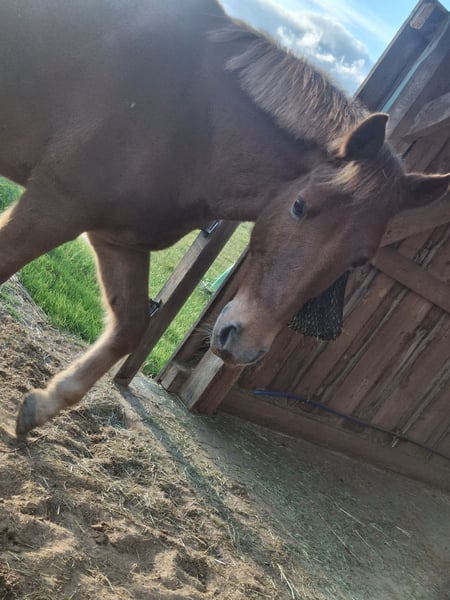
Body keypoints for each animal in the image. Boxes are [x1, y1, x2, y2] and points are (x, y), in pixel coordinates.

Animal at [0, 0, 448, 438]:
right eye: (299, 206)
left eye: (361, 260)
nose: (244, 343)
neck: (196, 119)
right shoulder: (54, 207)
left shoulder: (121, 239)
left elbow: (131, 326)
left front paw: (41, 406)